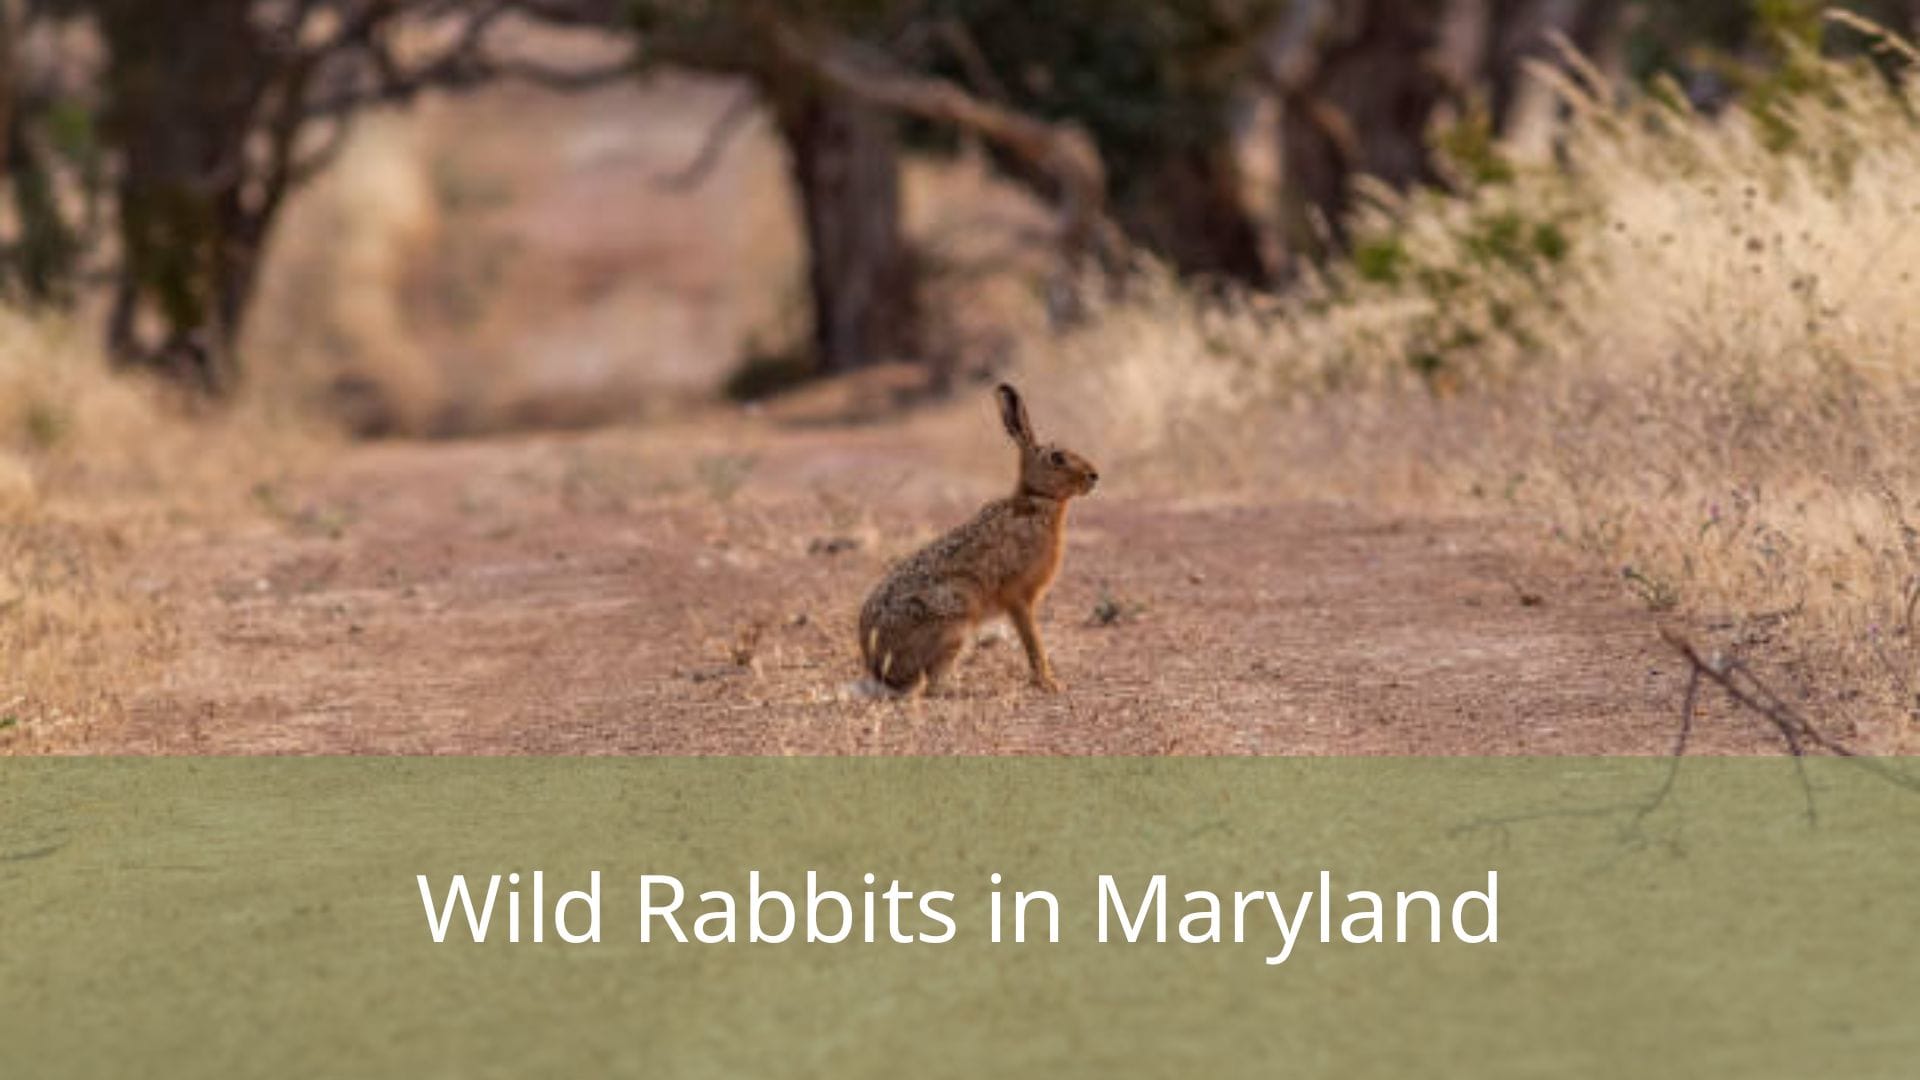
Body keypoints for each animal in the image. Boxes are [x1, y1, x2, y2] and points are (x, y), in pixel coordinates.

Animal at [859, 383, 1100, 694]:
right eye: (1057, 457)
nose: (1094, 476)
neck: (1037, 501)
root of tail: (879, 668)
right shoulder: (1017, 595)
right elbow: (1032, 641)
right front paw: (1048, 683)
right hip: (955, 618)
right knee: (929, 685)